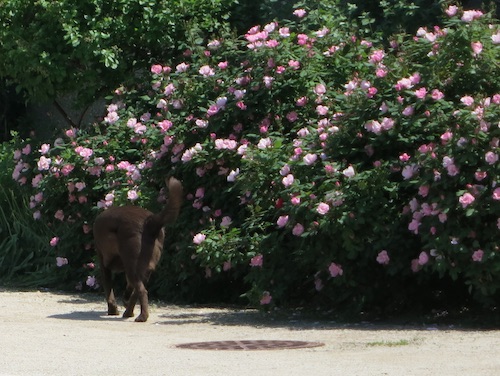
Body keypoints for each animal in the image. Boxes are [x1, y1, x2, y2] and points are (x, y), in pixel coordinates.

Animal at [93, 176, 183, 320]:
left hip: (133, 266)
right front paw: (124, 302)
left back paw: (141, 317)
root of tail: (151, 222)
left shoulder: (103, 264)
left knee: (141, 291)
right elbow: (128, 288)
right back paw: (129, 312)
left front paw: (113, 310)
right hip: (143, 269)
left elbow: (109, 291)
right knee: (137, 290)